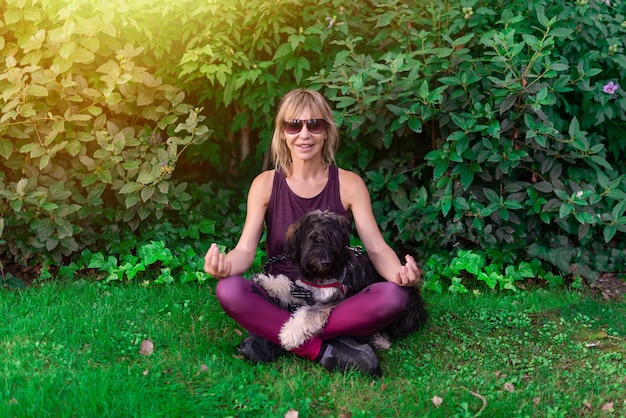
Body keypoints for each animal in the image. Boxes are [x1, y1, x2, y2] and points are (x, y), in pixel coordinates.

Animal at [251, 209, 426, 350]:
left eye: (333, 240)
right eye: (313, 239)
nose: (326, 262)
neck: (321, 275)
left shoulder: (331, 299)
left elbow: (308, 313)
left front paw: (289, 333)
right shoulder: (305, 291)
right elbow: (286, 285)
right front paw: (265, 281)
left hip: (406, 311)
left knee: (394, 331)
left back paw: (380, 339)